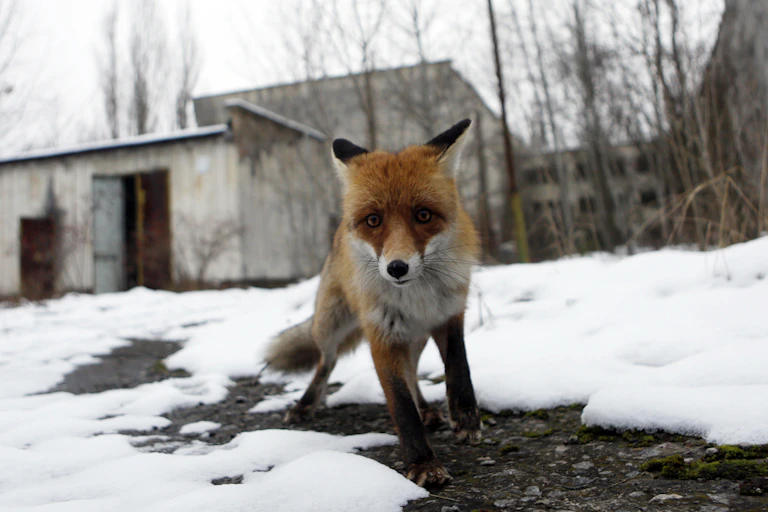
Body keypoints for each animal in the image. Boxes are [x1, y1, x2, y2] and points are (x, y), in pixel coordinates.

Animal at [264, 119, 482, 487]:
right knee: (325, 363)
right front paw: (422, 463)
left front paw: (466, 416)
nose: (397, 268)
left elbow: (458, 365)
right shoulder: (380, 335)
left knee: (412, 373)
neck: (418, 298)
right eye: (373, 220)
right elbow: (401, 405)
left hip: (415, 339)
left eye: (423, 215)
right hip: (329, 326)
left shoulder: (450, 313)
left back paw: (429, 410)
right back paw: (304, 405)